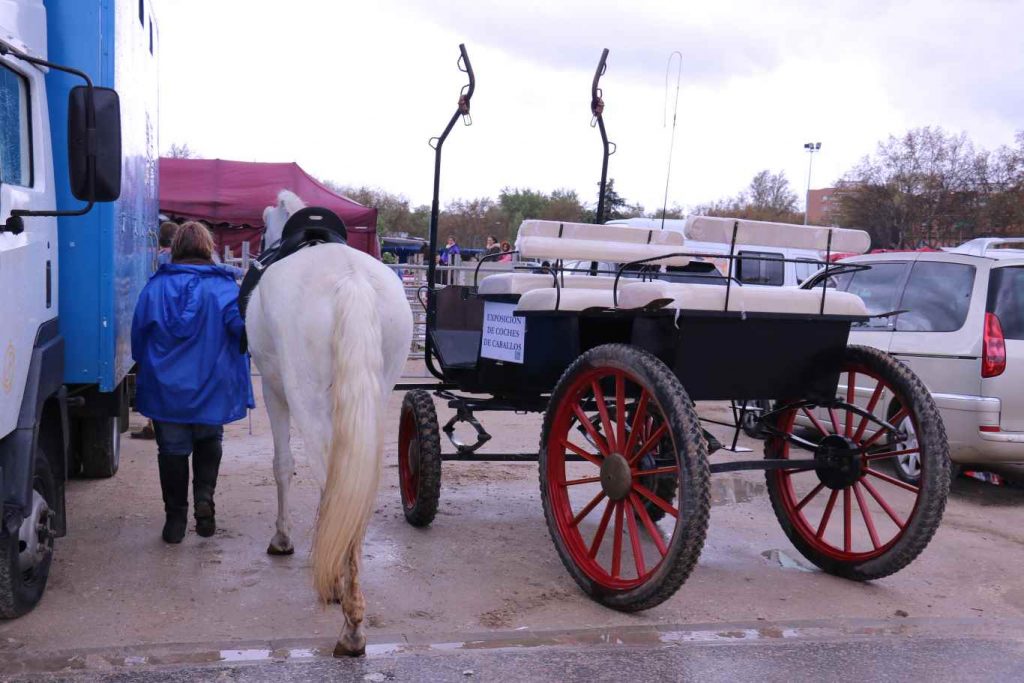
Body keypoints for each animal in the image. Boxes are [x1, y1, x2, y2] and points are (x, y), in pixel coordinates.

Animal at [245, 189, 409, 655]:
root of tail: (351, 280)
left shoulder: (274, 391)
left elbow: (283, 467)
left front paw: (283, 540)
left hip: (305, 397)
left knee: (328, 477)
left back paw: (350, 620)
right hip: (375, 397)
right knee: (353, 487)